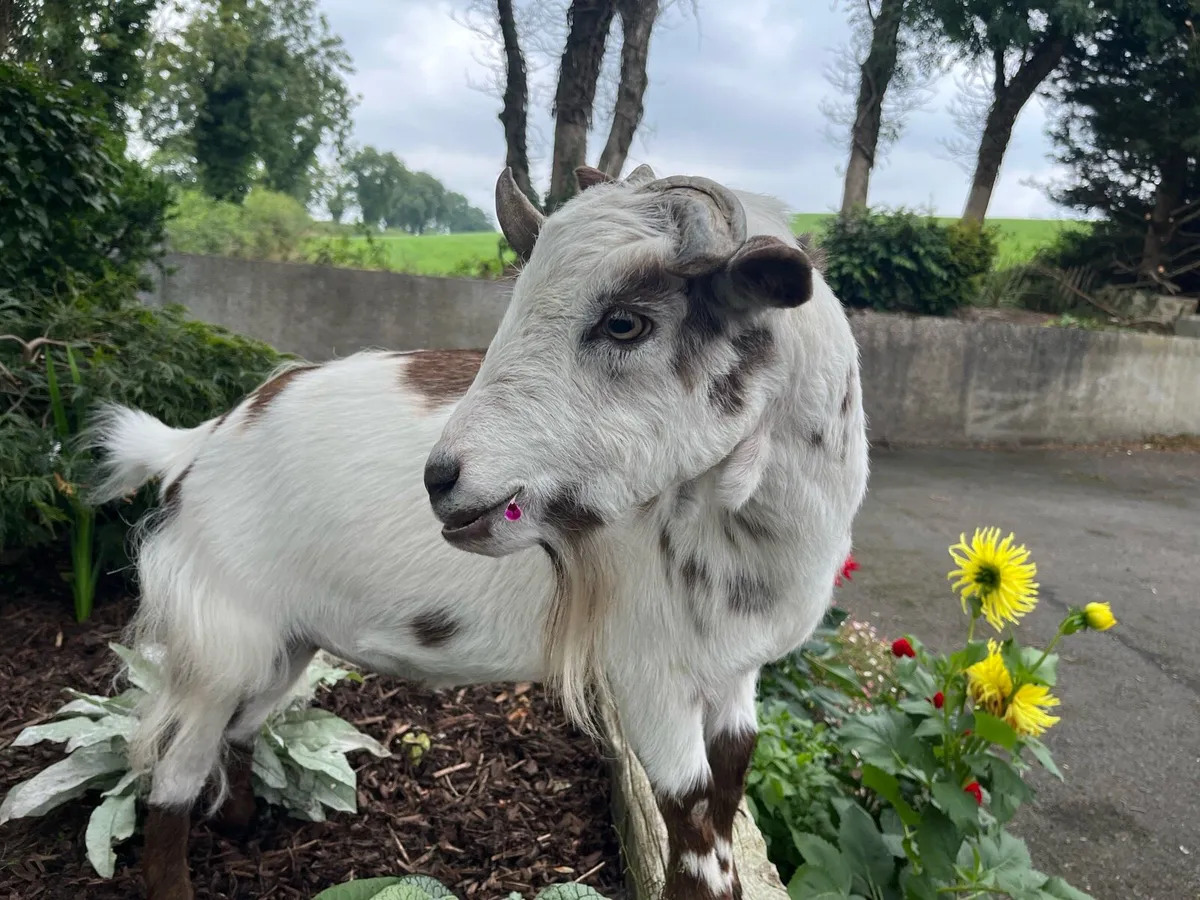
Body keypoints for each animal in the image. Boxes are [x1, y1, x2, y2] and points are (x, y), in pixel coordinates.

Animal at [86, 162, 869, 900]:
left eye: (624, 323)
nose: (441, 479)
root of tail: (200, 443)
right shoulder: (648, 677)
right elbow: (699, 843)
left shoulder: (735, 674)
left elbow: (729, 794)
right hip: (222, 636)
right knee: (174, 768)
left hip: (284, 641)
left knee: (241, 730)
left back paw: (245, 823)